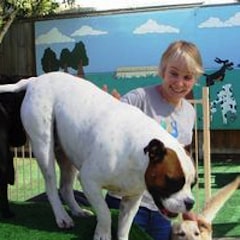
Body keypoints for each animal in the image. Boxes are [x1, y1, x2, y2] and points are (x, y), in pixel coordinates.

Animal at [0, 71, 196, 240]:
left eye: (192, 184)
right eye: (173, 181)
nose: (190, 203)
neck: (136, 152)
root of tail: (34, 81)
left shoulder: (132, 199)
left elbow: (125, 226)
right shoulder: (89, 181)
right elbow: (105, 212)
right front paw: (102, 234)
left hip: (66, 155)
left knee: (65, 187)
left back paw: (77, 211)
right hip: (43, 144)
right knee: (50, 185)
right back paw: (62, 217)